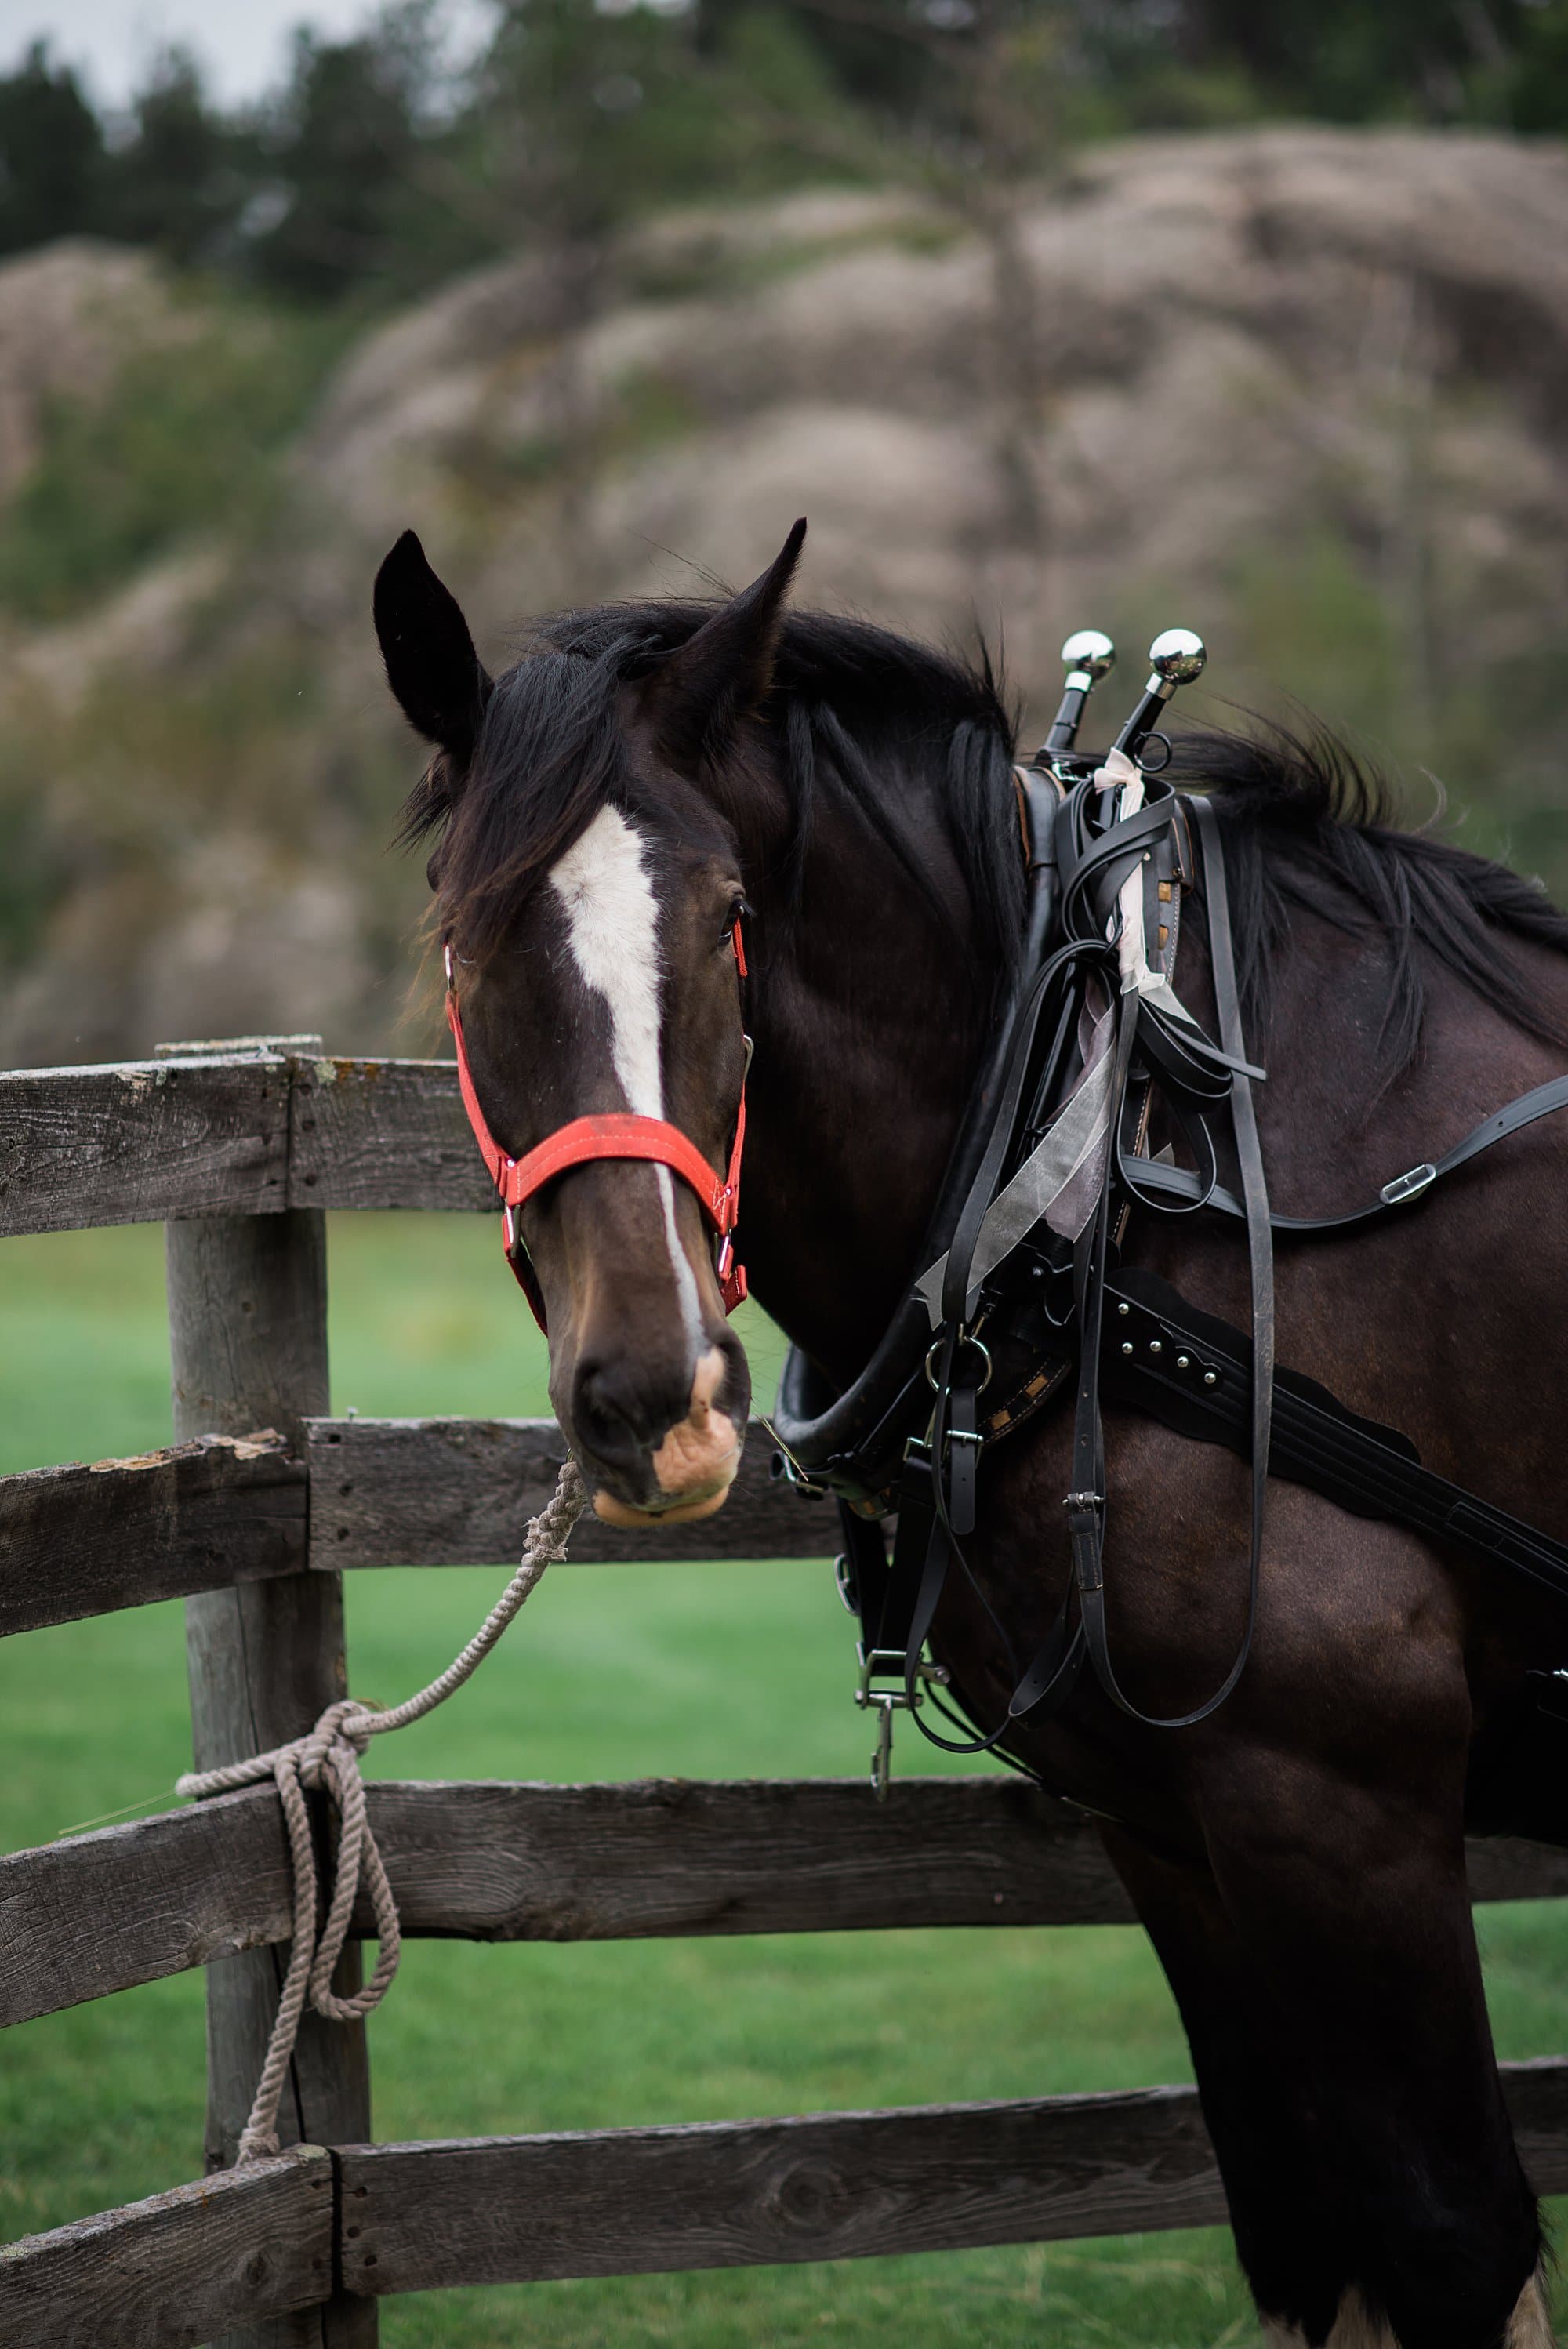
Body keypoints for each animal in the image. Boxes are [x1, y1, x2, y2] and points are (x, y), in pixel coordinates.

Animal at [373, 524, 1567, 2349]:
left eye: (729, 921)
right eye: (462, 938)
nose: (652, 1396)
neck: (1111, 1159)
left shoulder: (1346, 1811)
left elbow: (1448, 2237)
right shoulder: (1178, 1824)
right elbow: (1309, 2231)